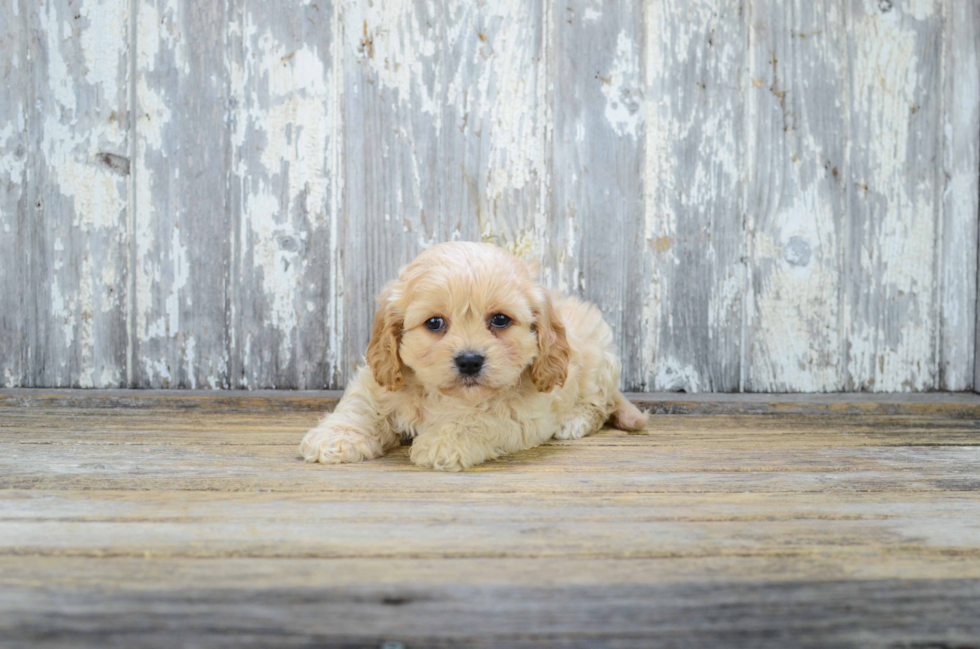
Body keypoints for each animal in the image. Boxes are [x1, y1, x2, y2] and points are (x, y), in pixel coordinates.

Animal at [302, 240, 648, 468]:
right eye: (435, 323)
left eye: (500, 320)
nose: (469, 361)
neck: (445, 396)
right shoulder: (378, 382)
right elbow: (360, 409)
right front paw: (335, 438)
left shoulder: (521, 412)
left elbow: (482, 419)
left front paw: (443, 442)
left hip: (598, 363)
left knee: (600, 405)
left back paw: (574, 421)